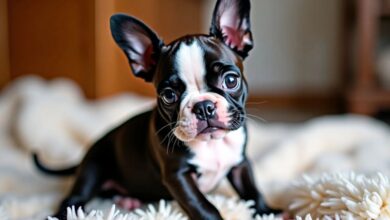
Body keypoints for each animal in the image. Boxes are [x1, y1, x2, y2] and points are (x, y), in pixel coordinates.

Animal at [32, 0, 278, 219]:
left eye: (230, 80)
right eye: (169, 95)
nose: (204, 107)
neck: (210, 144)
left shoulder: (240, 163)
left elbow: (252, 190)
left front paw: (268, 212)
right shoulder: (177, 176)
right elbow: (202, 205)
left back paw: (127, 199)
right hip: (93, 168)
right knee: (75, 199)